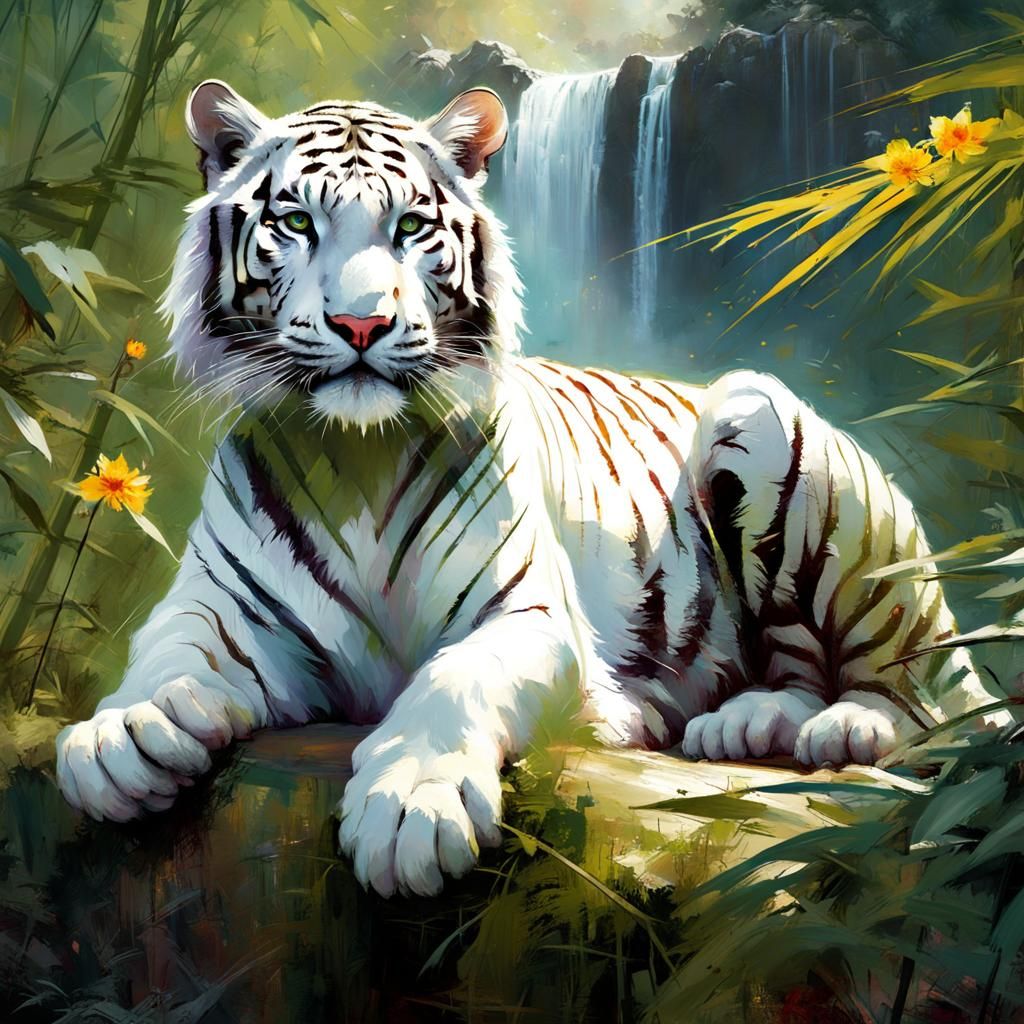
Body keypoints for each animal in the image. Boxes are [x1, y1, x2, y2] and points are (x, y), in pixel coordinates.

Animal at [56, 81, 1003, 898]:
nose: (361, 323)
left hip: (770, 429)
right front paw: (119, 735)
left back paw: (843, 728)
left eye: (409, 226)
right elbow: (167, 646)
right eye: (294, 222)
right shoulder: (224, 604)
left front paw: (410, 806)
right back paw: (746, 722)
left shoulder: (529, 616)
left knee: (912, 690)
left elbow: (453, 679)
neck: (357, 461)